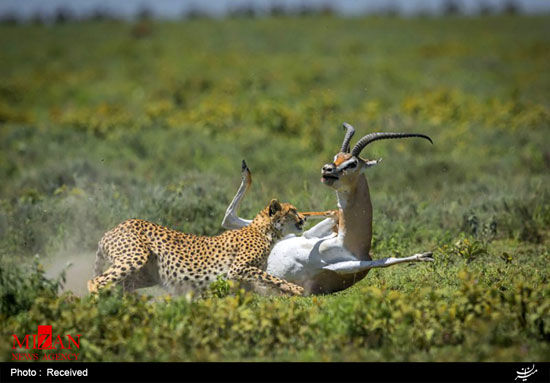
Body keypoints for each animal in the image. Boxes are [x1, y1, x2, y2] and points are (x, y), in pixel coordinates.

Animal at [88, 201, 308, 296]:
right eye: (293, 210)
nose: (304, 218)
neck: (265, 231)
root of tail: (113, 229)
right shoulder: (238, 269)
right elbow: (273, 278)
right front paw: (296, 289)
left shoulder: (242, 278)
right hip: (135, 257)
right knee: (95, 281)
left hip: (147, 274)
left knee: (120, 286)